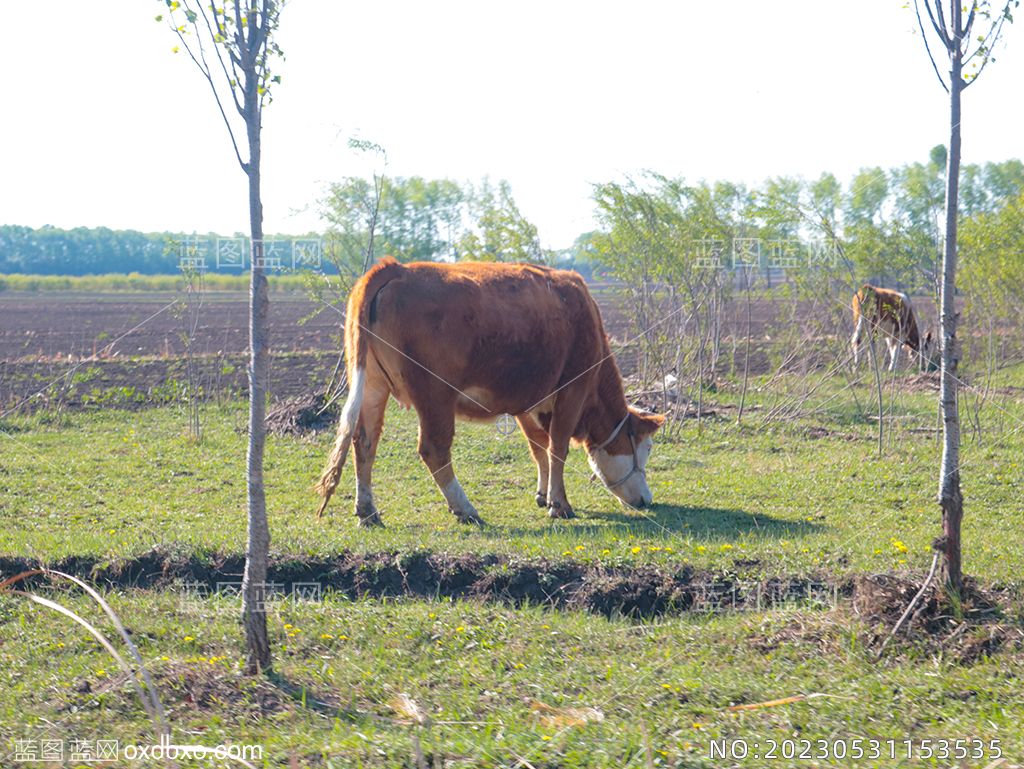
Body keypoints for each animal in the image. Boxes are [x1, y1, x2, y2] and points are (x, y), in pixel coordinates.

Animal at [313, 255, 663, 528]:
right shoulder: (572, 389)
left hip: (372, 384)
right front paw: (559, 504)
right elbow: (557, 447)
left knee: (364, 442)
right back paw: (465, 508)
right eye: (645, 448)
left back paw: (367, 511)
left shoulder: (529, 402)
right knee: (433, 449)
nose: (647, 500)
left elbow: (538, 447)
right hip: (434, 395)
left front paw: (542, 494)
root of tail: (396, 268)